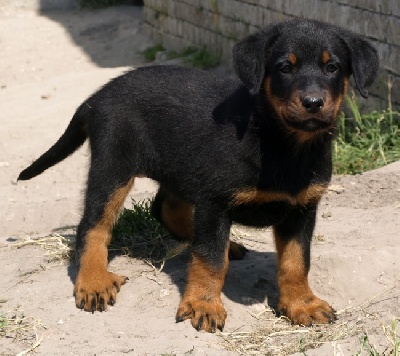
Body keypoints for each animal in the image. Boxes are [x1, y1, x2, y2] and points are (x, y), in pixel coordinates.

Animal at [18, 18, 380, 330]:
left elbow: (296, 261)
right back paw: (93, 281)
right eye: (284, 68)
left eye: (332, 67)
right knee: (93, 225)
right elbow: (210, 260)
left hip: (181, 166)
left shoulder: (302, 209)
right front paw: (203, 304)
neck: (283, 143)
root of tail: (97, 97)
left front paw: (301, 304)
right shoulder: (215, 201)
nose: (313, 102)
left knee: (166, 209)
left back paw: (224, 243)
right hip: (113, 166)